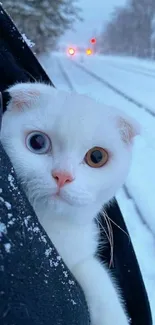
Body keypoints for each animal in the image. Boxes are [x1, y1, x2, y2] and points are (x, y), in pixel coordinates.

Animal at [0, 81, 140, 324]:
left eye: (97, 157)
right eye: (37, 142)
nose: (62, 176)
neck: (51, 227)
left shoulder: (79, 252)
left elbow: (94, 271)